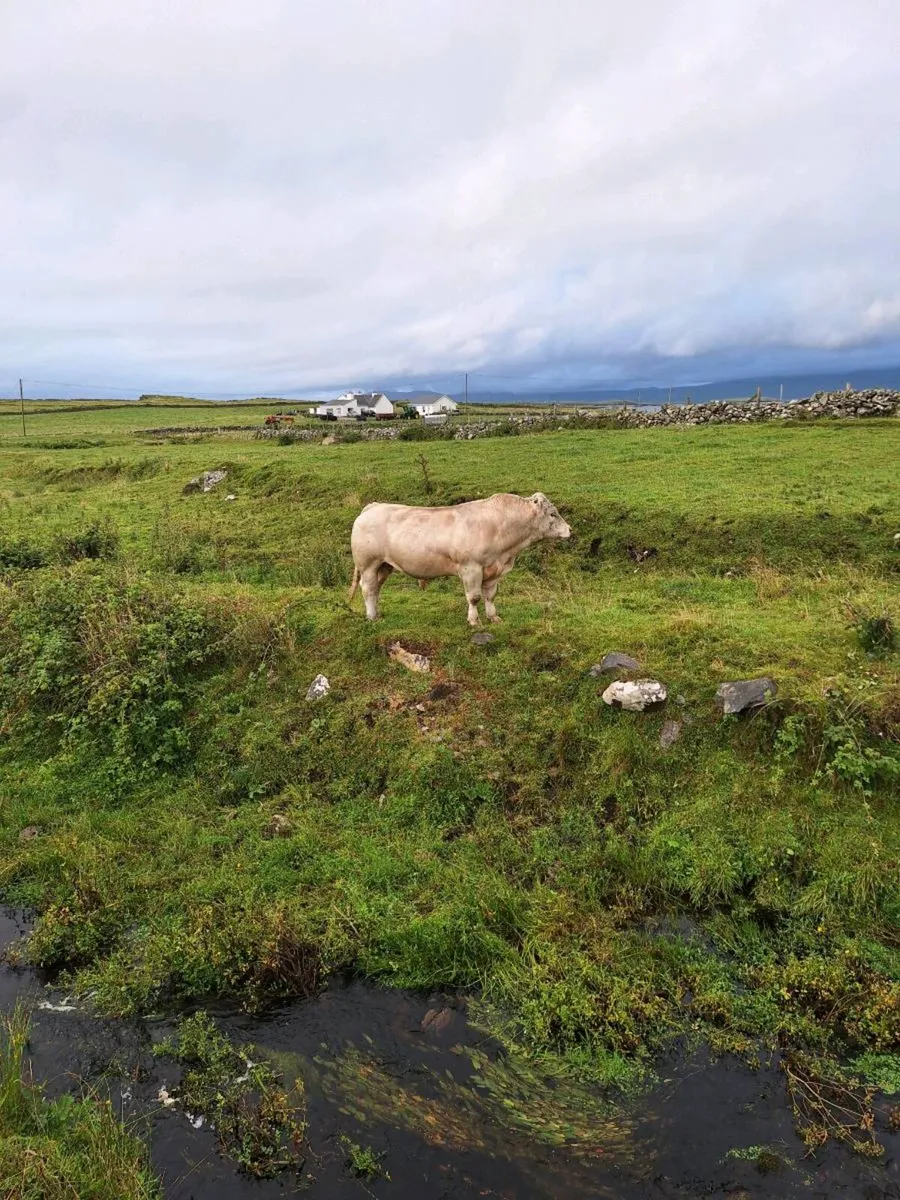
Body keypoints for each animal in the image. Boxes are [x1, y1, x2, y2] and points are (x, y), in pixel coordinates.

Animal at [348, 492, 571, 626]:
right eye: (553, 514)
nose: (569, 529)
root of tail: (373, 506)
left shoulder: (494, 570)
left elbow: (490, 596)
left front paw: (493, 617)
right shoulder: (470, 568)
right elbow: (474, 597)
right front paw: (474, 621)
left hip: (384, 566)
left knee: (376, 589)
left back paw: (376, 614)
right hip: (368, 564)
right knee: (368, 589)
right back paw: (371, 617)